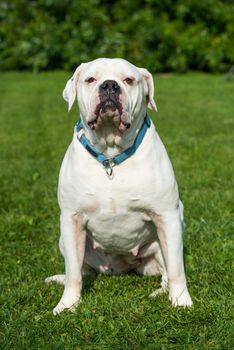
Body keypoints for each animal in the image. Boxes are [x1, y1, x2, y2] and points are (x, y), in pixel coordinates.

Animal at [45, 57, 192, 314]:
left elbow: (176, 269)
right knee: (81, 270)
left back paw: (160, 293)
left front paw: (182, 301)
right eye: (91, 79)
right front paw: (67, 305)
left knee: (166, 273)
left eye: (129, 80)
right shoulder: (71, 219)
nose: (110, 86)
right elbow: (73, 273)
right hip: (64, 239)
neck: (111, 154)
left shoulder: (167, 216)